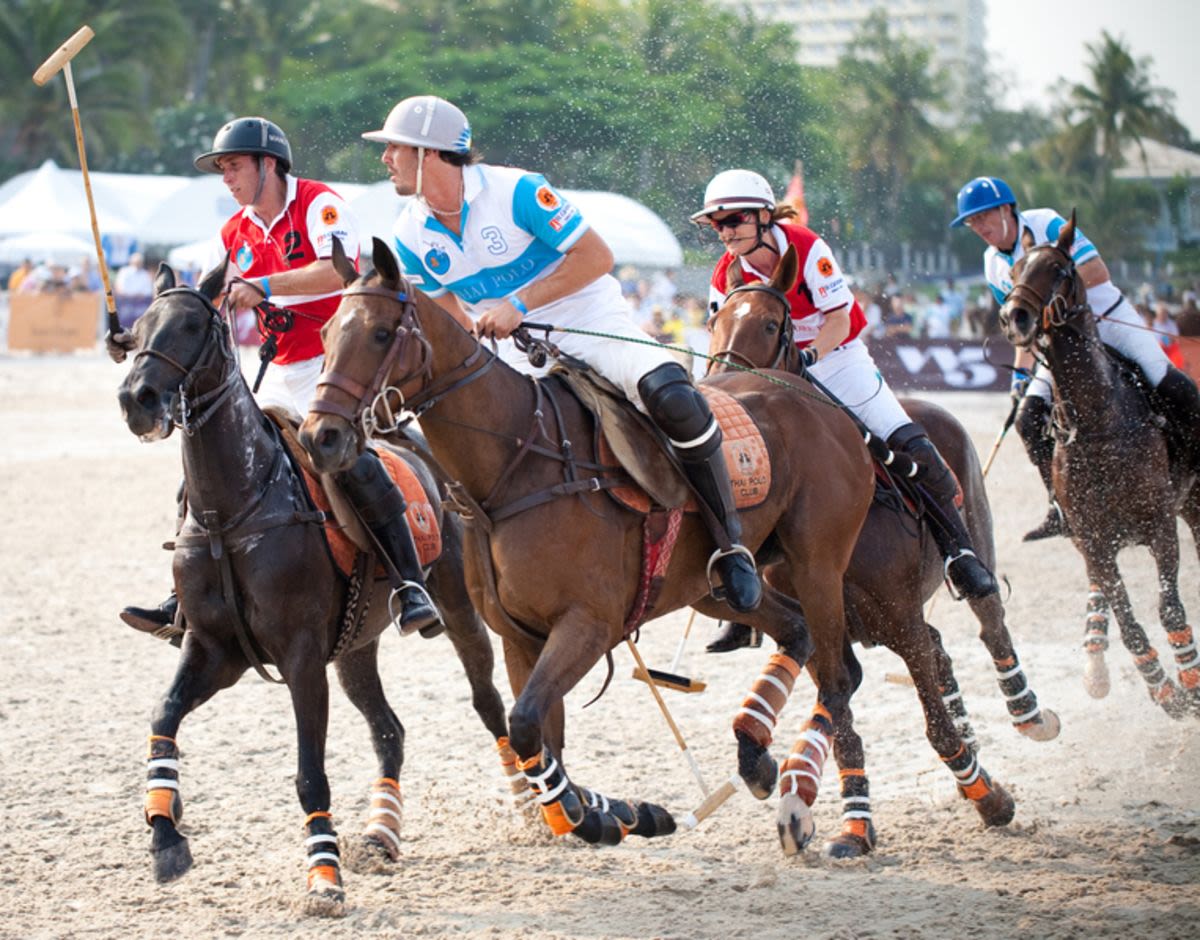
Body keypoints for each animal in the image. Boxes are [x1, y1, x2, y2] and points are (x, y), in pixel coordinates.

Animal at [119, 260, 513, 917]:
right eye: (137, 328)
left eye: (194, 325)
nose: (136, 399)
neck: (233, 511)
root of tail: (409, 440)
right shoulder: (214, 649)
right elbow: (163, 718)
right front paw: (166, 837)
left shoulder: (301, 656)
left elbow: (310, 774)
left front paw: (324, 879)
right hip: (356, 647)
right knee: (389, 729)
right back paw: (381, 833)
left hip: (459, 611)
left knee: (489, 704)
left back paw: (537, 804)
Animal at [300, 237, 883, 854]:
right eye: (325, 333)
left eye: (381, 332)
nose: (320, 437)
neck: (511, 471)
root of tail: (815, 399)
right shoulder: (520, 637)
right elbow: (540, 734)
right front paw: (610, 813)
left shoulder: (588, 623)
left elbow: (525, 724)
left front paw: (601, 815)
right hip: (708, 588)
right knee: (794, 631)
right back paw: (754, 753)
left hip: (818, 562)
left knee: (837, 676)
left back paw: (809, 804)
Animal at [710, 249, 1032, 854]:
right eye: (714, 317)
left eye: (770, 323)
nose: (716, 384)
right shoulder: (826, 626)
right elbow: (845, 727)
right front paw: (849, 826)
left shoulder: (898, 619)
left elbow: (933, 728)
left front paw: (992, 799)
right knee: (941, 651)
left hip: (973, 539)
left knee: (990, 620)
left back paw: (1028, 712)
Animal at [1003, 213, 1200, 715]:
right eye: (1012, 275)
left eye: (1059, 268)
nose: (1014, 316)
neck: (1098, 421)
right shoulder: (1094, 540)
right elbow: (1128, 622)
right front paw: (1165, 689)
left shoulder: (1160, 526)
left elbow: (1169, 607)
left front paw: (1189, 684)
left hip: (1194, 502)